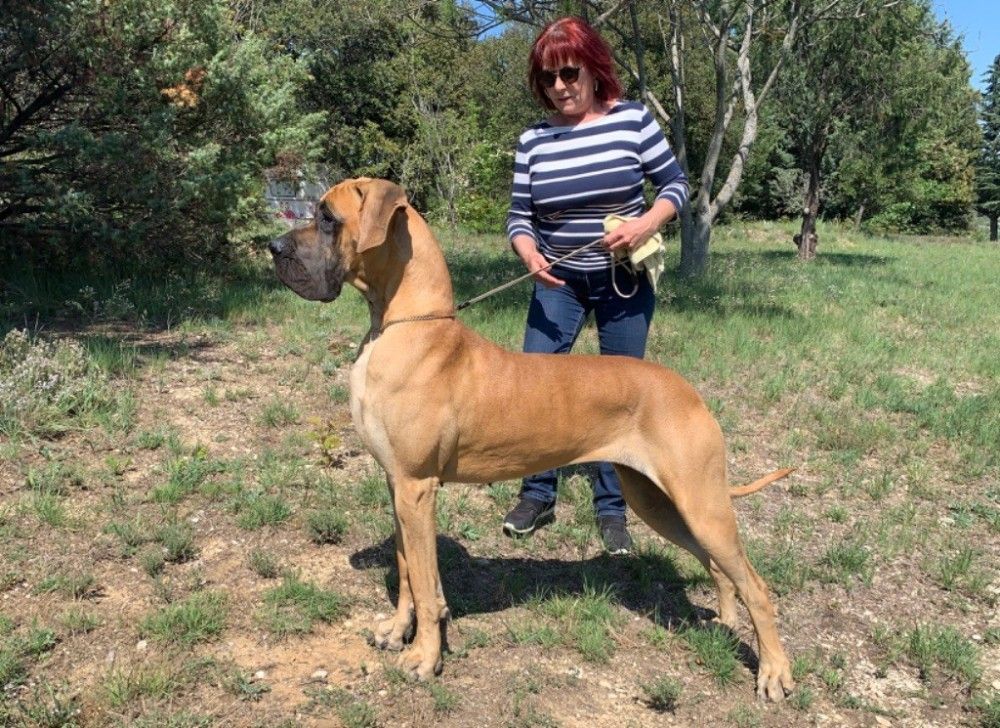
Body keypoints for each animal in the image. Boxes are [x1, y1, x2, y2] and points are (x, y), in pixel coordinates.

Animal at [268, 177, 795, 701]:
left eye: (328, 218)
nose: (272, 247)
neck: (402, 325)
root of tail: (690, 392)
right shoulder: (397, 484)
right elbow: (406, 573)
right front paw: (399, 632)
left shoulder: (417, 488)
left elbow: (422, 579)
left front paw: (424, 656)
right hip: (658, 501)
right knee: (718, 566)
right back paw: (725, 622)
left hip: (700, 504)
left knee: (756, 585)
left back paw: (774, 671)